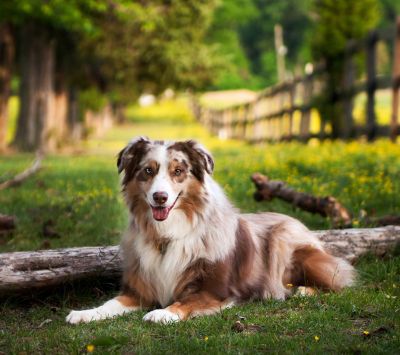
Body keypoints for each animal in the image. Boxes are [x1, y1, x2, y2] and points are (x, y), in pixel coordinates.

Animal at [66, 137, 356, 326]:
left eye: (178, 171)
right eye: (148, 171)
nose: (160, 197)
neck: (167, 235)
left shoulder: (216, 291)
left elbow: (186, 302)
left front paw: (163, 313)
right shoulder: (140, 290)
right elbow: (110, 303)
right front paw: (84, 313)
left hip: (285, 243)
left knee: (337, 281)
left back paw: (303, 290)